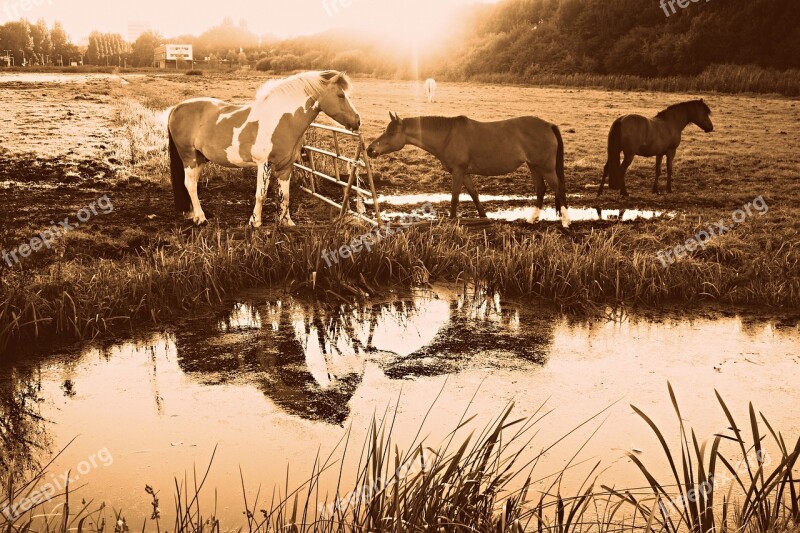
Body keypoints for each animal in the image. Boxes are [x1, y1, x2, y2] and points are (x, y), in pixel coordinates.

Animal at [167, 69, 360, 225]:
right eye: (340, 95)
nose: (357, 121)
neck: (281, 119)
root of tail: (176, 108)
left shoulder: (286, 166)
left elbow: (285, 195)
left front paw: (286, 222)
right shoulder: (264, 164)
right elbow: (261, 194)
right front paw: (255, 222)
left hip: (200, 158)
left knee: (191, 184)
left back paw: (193, 214)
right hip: (189, 157)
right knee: (190, 184)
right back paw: (201, 218)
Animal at [366, 113, 572, 225]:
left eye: (391, 132)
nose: (370, 150)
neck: (447, 136)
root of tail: (549, 125)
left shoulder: (458, 172)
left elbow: (455, 198)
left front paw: (452, 220)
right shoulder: (464, 174)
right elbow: (474, 195)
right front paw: (484, 218)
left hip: (545, 167)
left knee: (558, 188)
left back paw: (565, 222)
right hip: (534, 166)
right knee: (541, 189)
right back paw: (532, 220)